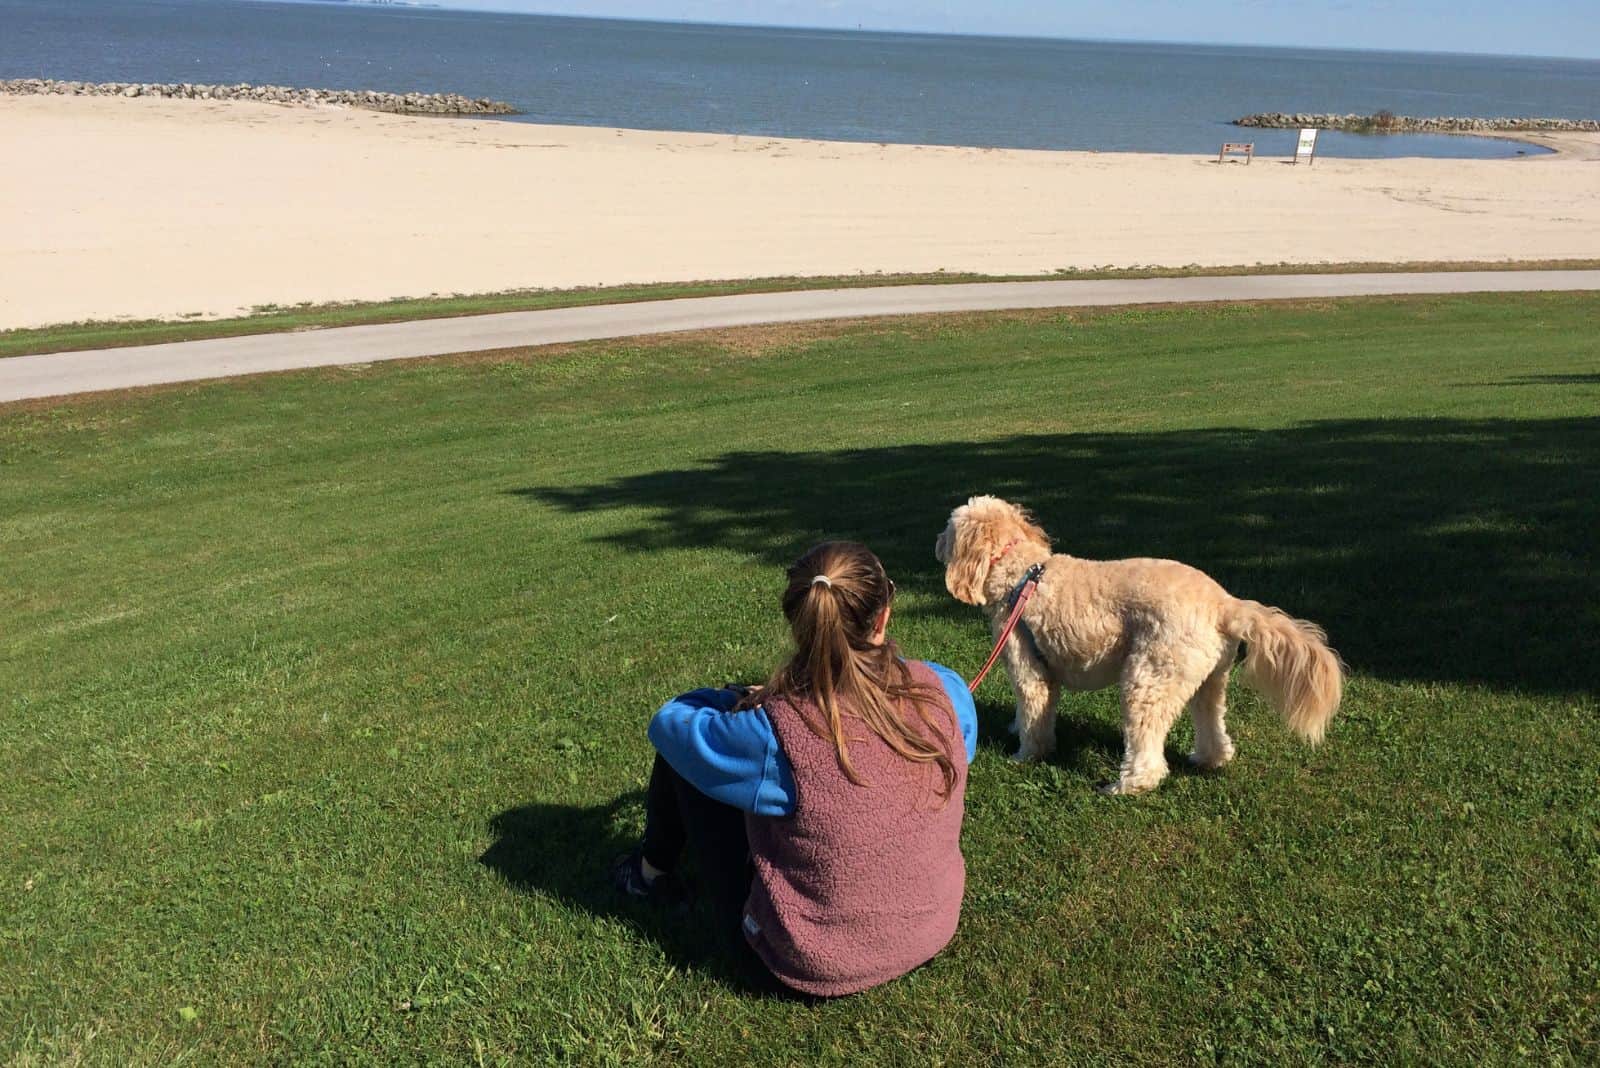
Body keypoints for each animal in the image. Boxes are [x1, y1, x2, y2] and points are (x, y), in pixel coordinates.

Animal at [934, 495, 1344, 793]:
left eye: (948, 529)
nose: (935, 543)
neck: (1022, 576)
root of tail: (1223, 604)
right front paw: (1015, 729)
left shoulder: (1029, 671)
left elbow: (1035, 716)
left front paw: (1026, 754)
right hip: (1206, 678)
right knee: (1211, 722)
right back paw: (1208, 758)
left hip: (1148, 678)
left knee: (1148, 744)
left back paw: (1129, 783)